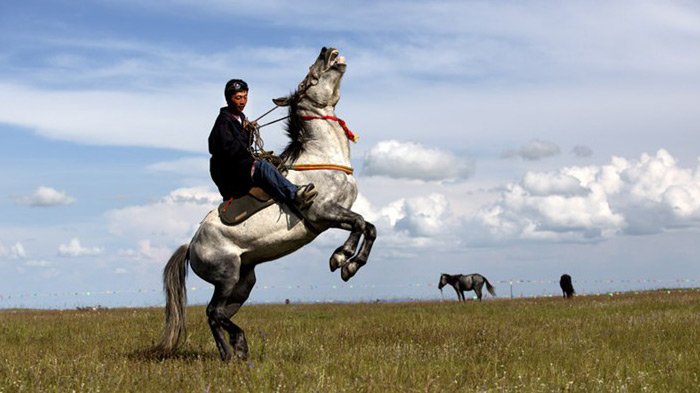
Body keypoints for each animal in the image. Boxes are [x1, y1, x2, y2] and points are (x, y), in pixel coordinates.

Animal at [152, 47, 374, 360]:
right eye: (308, 76)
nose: (327, 50)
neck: (322, 157)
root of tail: (191, 246)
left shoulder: (334, 216)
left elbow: (368, 227)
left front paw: (348, 263)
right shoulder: (323, 213)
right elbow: (360, 223)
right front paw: (342, 259)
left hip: (243, 283)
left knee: (216, 315)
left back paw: (231, 353)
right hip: (227, 276)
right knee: (213, 311)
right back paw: (237, 346)